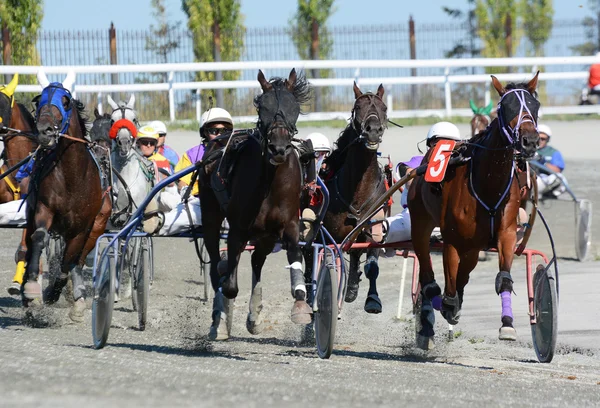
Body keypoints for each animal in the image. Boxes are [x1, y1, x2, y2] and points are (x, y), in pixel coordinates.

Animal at [21, 71, 112, 322]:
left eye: (65, 102)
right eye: (38, 100)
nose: (44, 131)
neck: (72, 176)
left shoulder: (83, 226)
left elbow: (68, 261)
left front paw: (56, 292)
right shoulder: (43, 208)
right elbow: (39, 237)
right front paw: (32, 290)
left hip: (97, 226)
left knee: (77, 260)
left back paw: (76, 296)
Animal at [203, 68, 314, 340]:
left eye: (293, 106)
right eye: (263, 106)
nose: (278, 148)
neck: (270, 183)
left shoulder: (289, 224)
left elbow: (295, 256)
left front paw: (299, 303)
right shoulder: (238, 228)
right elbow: (230, 285)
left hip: (266, 235)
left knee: (256, 260)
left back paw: (254, 315)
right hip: (211, 215)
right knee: (215, 258)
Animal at [304, 82, 390, 312]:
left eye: (384, 108)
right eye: (358, 107)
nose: (373, 131)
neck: (358, 193)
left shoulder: (373, 229)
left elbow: (370, 264)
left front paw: (371, 298)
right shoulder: (329, 235)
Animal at [408, 71, 540, 350]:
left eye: (535, 105)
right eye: (506, 106)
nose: (530, 141)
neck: (487, 182)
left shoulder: (506, 233)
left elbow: (503, 278)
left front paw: (507, 325)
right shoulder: (452, 240)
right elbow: (447, 290)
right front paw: (446, 308)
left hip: (473, 246)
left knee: (462, 275)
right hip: (420, 223)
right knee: (427, 275)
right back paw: (428, 319)